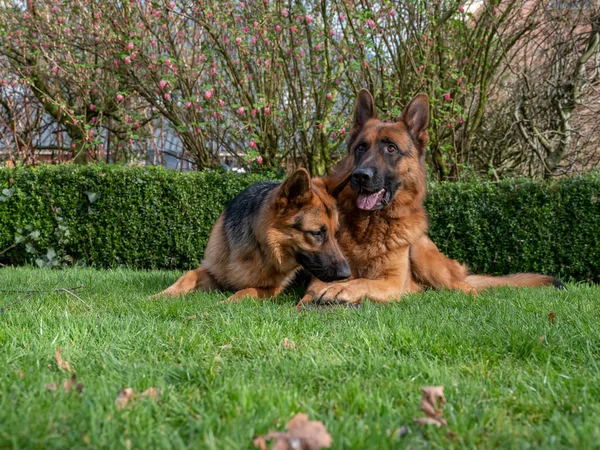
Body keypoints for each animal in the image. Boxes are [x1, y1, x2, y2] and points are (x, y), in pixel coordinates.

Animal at [298, 91, 564, 310]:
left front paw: (341, 289)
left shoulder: (391, 282)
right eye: (361, 148)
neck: (369, 226)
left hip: (422, 253)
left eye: (391, 149)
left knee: (467, 289)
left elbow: (363, 281)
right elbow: (317, 288)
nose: (360, 176)